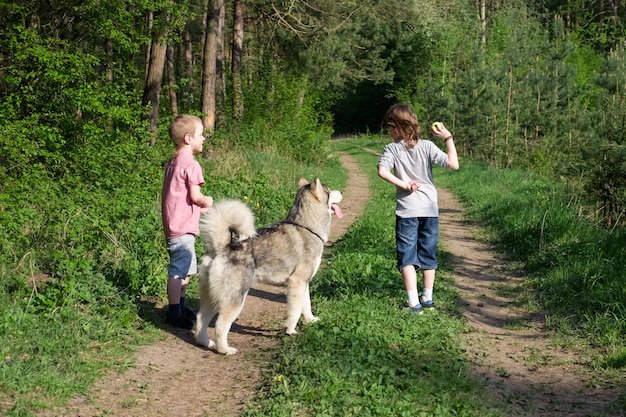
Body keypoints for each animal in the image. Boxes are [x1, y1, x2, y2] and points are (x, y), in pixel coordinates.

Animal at [194, 176, 342, 354]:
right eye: (329, 191)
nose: (341, 192)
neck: (307, 227)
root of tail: (222, 246)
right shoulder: (296, 283)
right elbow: (294, 311)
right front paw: (290, 331)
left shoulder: (304, 283)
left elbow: (306, 305)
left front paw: (311, 320)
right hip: (235, 298)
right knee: (220, 325)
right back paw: (225, 350)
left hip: (211, 297)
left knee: (200, 319)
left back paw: (206, 342)